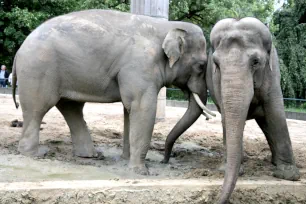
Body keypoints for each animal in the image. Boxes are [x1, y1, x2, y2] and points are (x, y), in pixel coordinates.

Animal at [11, 9, 213, 175]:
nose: (165, 161)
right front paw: (141, 172)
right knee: (38, 110)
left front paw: (126, 160)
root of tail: (18, 52)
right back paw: (36, 154)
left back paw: (91, 155)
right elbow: (141, 107)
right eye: (201, 66)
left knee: (71, 108)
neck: (168, 26)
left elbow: (129, 109)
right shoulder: (140, 66)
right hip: (38, 70)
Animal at [164, 17, 300, 202]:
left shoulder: (272, 74)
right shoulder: (217, 81)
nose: (215, 199)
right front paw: (228, 169)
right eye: (216, 63)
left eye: (256, 62)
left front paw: (288, 175)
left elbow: (275, 113)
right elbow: (227, 117)